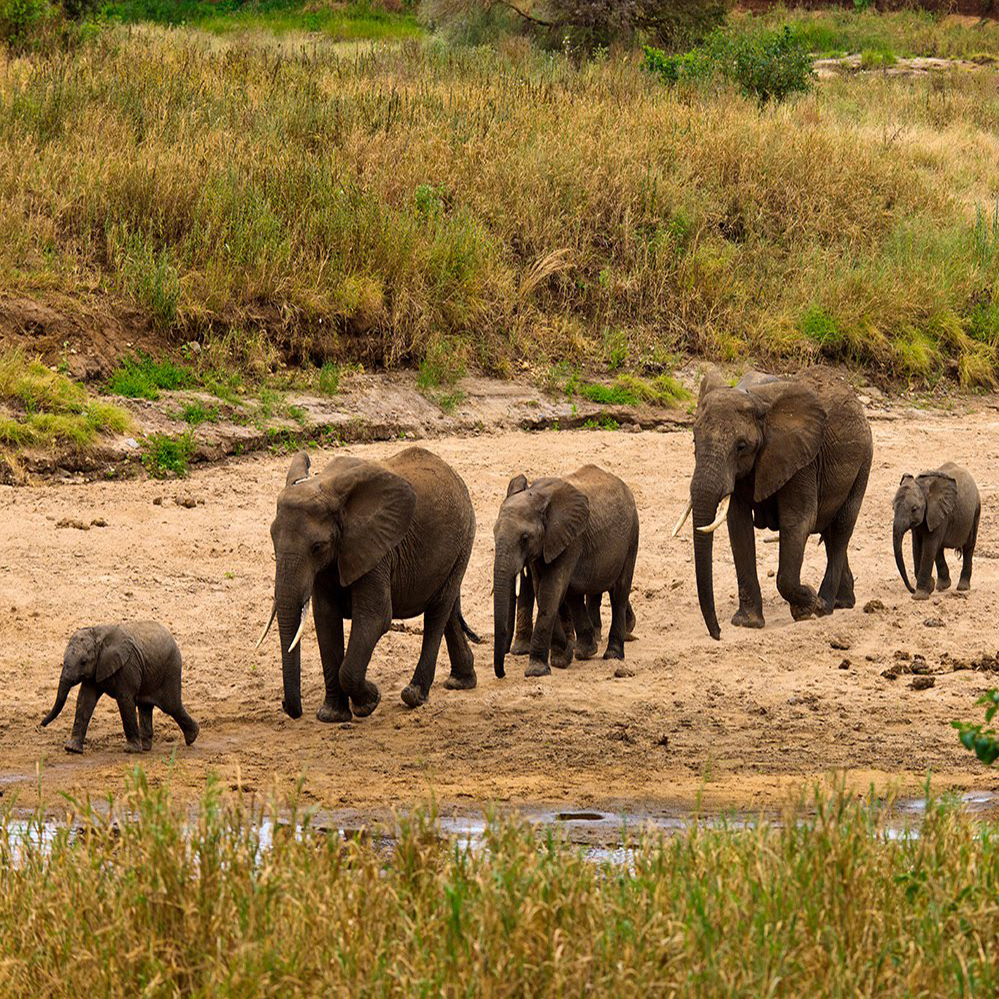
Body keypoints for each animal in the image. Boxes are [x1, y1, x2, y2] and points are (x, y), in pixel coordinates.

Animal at [41, 620, 199, 752]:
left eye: (83, 662)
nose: (41, 724)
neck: (97, 633)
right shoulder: (96, 669)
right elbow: (85, 700)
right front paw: (72, 748)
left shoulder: (127, 665)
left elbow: (124, 700)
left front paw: (131, 750)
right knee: (145, 706)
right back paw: (146, 747)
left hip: (171, 668)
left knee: (171, 706)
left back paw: (192, 737)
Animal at [256, 450, 478, 724]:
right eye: (272, 538)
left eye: (317, 547)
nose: (287, 706)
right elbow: (326, 619)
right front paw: (332, 716)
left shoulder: (377, 550)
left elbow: (374, 618)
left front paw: (369, 702)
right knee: (448, 607)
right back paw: (461, 682)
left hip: (465, 535)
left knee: (437, 612)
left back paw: (414, 695)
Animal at [680, 368, 876, 640]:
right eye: (694, 442)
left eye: (741, 447)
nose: (718, 634)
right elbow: (738, 527)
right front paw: (748, 623)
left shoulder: (802, 460)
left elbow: (797, 521)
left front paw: (807, 607)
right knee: (831, 533)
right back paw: (842, 603)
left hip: (864, 462)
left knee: (840, 530)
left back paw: (825, 606)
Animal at [896, 462, 980, 600]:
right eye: (893, 507)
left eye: (914, 509)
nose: (912, 589)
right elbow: (917, 546)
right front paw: (930, 586)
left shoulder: (940, 512)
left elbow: (929, 545)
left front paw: (920, 596)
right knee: (939, 549)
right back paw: (942, 586)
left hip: (976, 511)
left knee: (968, 547)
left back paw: (962, 588)